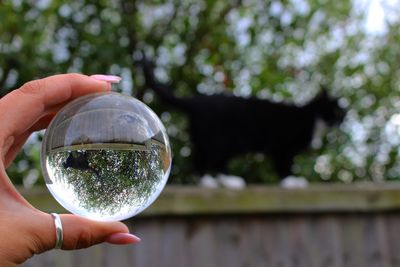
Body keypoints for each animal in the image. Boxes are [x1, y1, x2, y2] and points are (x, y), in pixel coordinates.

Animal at [139, 56, 346, 182]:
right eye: (336, 112)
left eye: (343, 114)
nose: (341, 122)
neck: (311, 116)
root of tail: (197, 100)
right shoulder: (284, 148)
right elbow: (285, 167)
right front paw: (291, 182)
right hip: (218, 140)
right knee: (202, 161)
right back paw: (211, 182)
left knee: (212, 161)